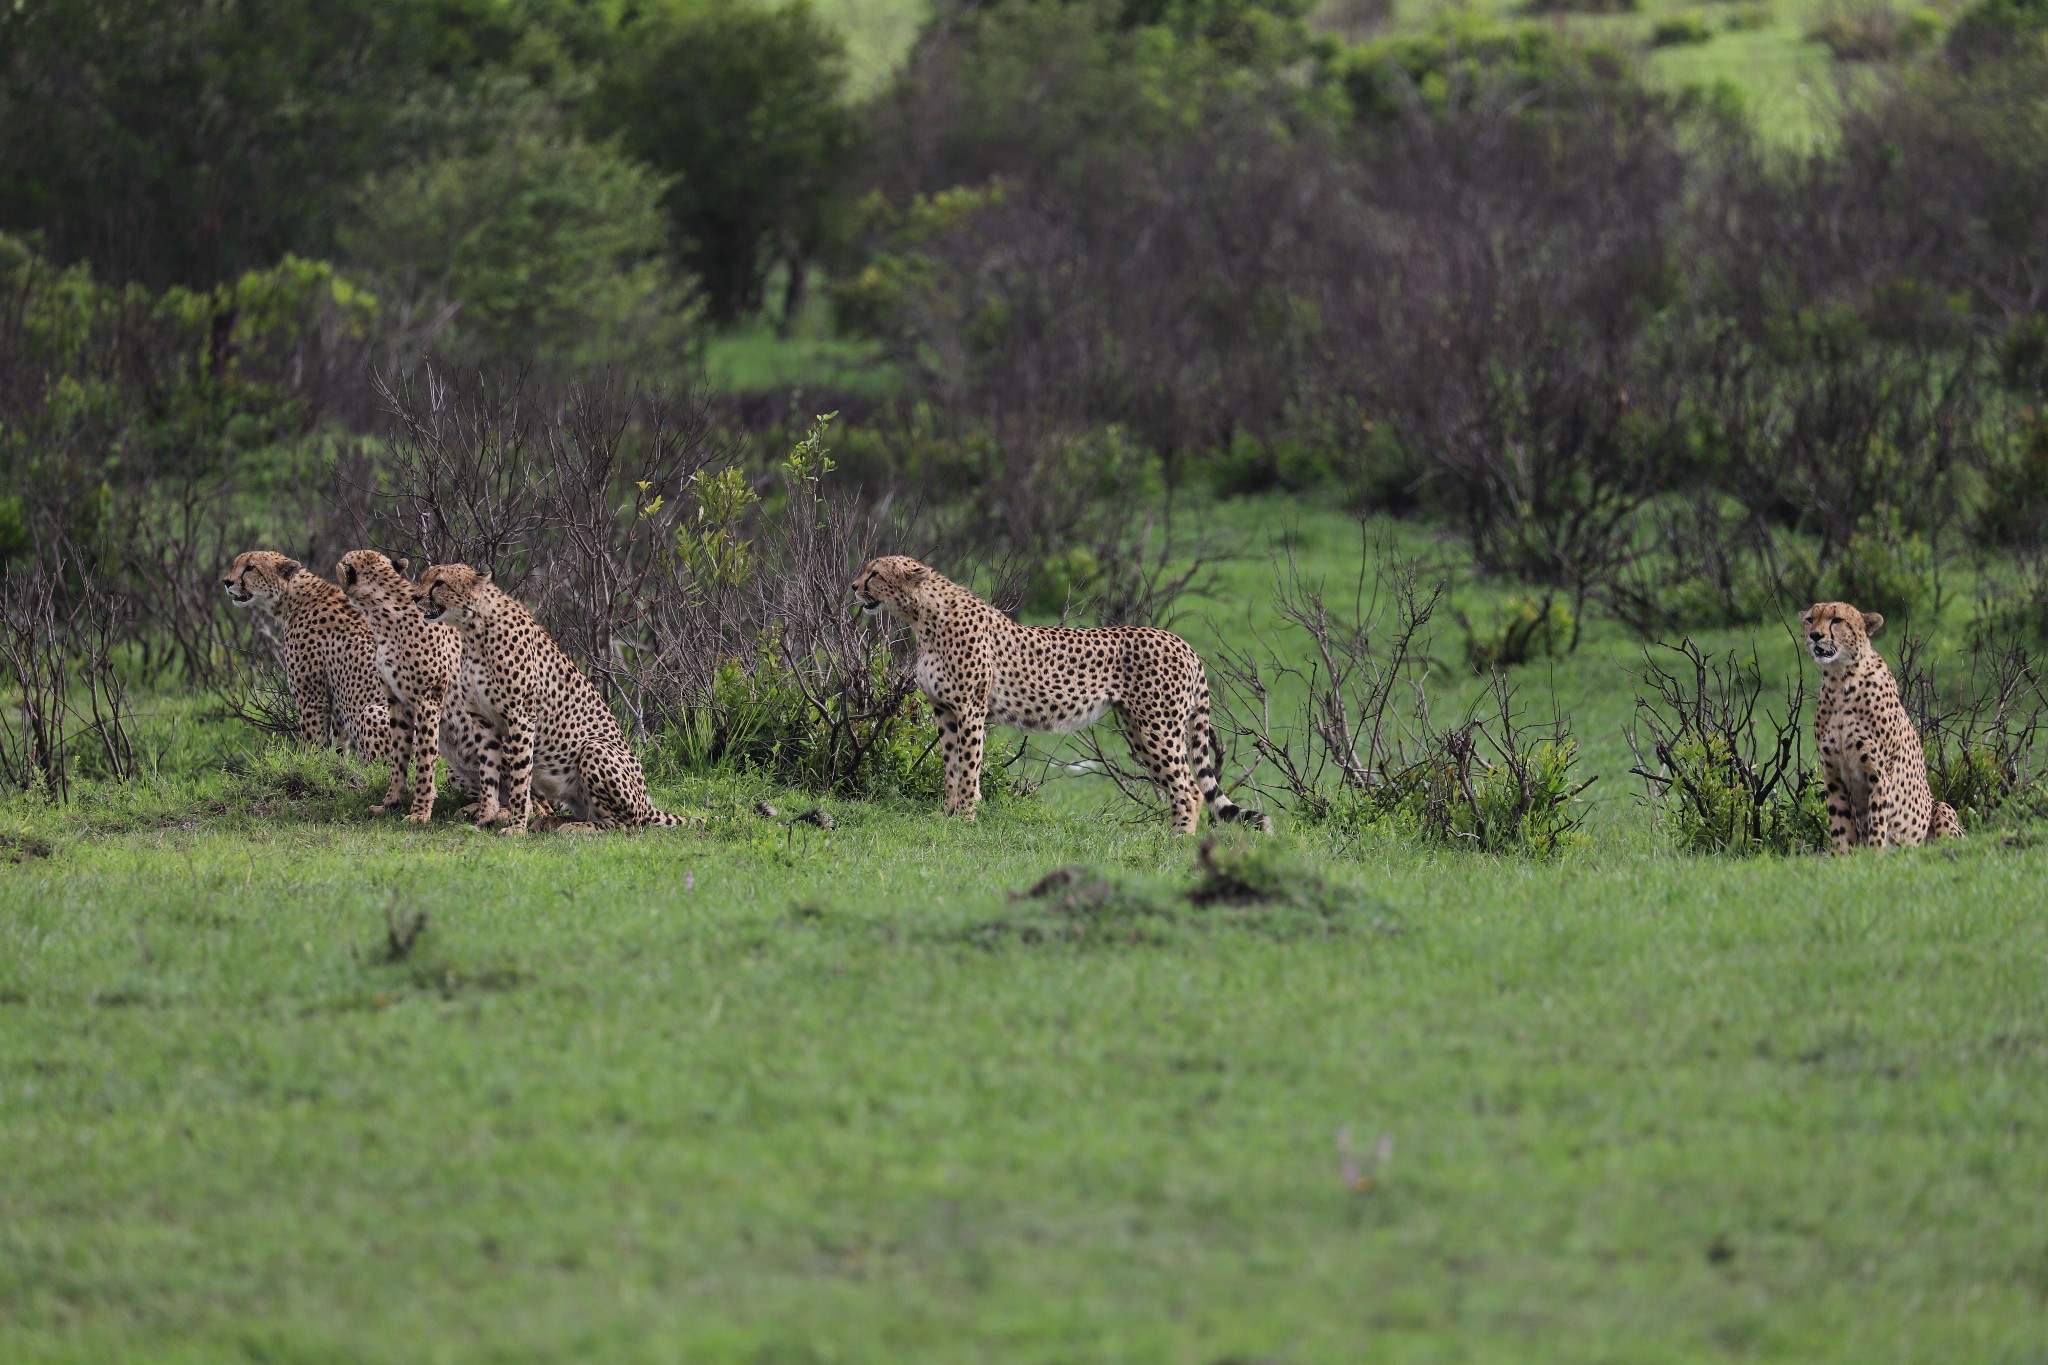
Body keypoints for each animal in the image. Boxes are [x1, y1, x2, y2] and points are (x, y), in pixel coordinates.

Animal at [228, 548, 395, 765]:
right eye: (234, 565)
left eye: (250, 567)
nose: (227, 581)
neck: (292, 597)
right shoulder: (335, 700)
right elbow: (339, 744)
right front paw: (337, 766)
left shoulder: (311, 696)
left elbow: (313, 740)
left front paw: (309, 763)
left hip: (373, 711)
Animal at [411, 564, 692, 834]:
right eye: (424, 578)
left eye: (439, 583)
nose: (415, 596)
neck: (474, 628)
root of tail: (646, 801)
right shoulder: (483, 722)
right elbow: (488, 776)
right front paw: (484, 819)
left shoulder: (520, 717)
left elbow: (519, 779)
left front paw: (516, 828)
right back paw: (552, 822)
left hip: (595, 749)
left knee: (626, 824)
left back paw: (573, 828)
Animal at [847, 552, 1261, 834]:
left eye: (875, 573)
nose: (853, 587)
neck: (921, 616)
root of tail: (1180, 640)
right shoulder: (945, 711)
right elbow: (951, 766)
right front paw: (947, 816)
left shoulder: (969, 709)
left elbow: (967, 767)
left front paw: (965, 817)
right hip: (1138, 729)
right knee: (1182, 785)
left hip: (1158, 727)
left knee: (1189, 787)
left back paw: (1177, 842)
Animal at [1810, 601, 1966, 855]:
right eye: (1810, 619)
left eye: (1837, 620)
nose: (1815, 635)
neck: (1840, 679)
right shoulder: (1833, 777)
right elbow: (1840, 826)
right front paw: (1842, 858)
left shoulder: (1878, 774)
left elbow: (1877, 821)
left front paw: (1875, 855)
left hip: (1942, 808)